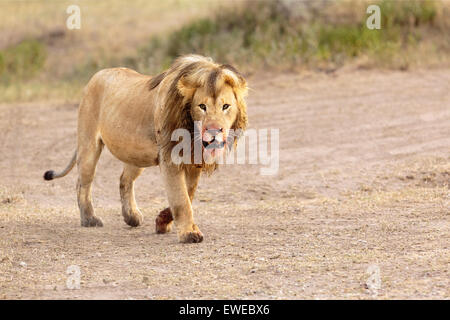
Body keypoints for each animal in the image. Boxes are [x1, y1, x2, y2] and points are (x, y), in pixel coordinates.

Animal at [43, 54, 248, 242]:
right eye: (202, 106)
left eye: (226, 106)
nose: (213, 132)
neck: (191, 130)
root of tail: (97, 75)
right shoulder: (170, 158)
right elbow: (181, 199)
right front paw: (189, 234)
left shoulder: (193, 160)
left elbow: (188, 194)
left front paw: (162, 221)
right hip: (89, 144)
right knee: (83, 182)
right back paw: (89, 219)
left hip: (135, 154)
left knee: (124, 180)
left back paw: (131, 216)